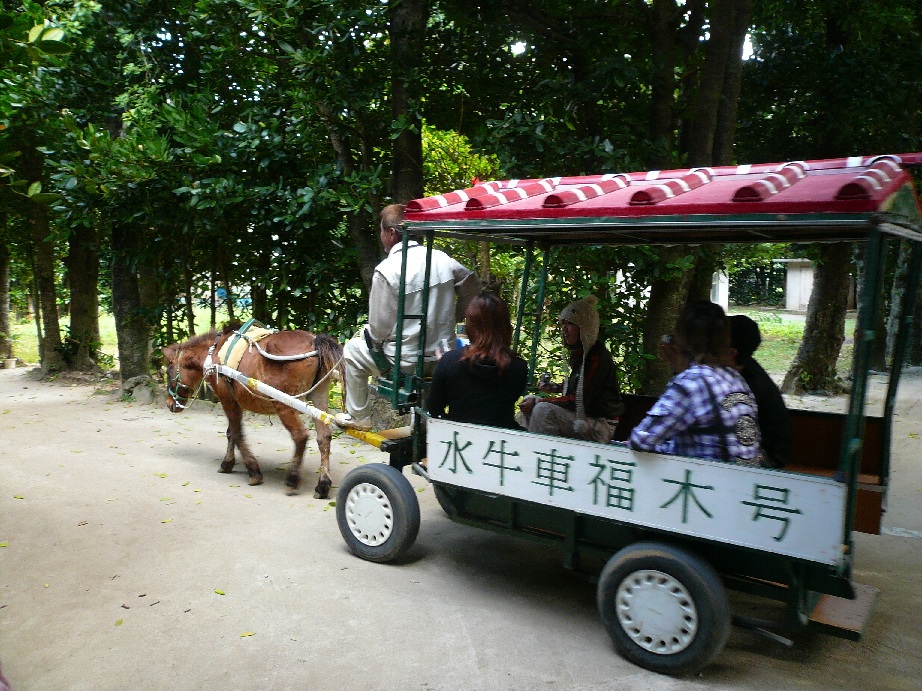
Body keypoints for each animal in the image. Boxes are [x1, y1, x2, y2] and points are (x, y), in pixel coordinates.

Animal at [161, 324, 342, 498]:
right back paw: (323, 485)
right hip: (318, 397)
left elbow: (237, 433)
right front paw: (228, 463)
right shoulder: (236, 402)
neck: (213, 353)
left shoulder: (227, 400)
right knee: (324, 437)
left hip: (284, 405)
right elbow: (231, 432)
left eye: (168, 372)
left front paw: (253, 472)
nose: (169, 403)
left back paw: (292, 479)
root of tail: (314, 341)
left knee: (300, 436)